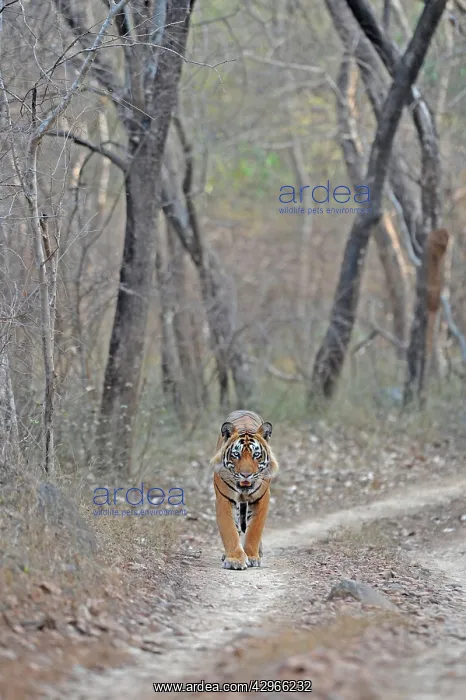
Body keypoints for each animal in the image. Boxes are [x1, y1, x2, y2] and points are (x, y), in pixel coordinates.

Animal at [210, 410, 279, 570]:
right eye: (236, 454)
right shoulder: (224, 499)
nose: (246, 474)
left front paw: (252, 556)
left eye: (256, 455)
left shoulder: (262, 499)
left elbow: (254, 530)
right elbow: (229, 530)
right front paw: (235, 560)